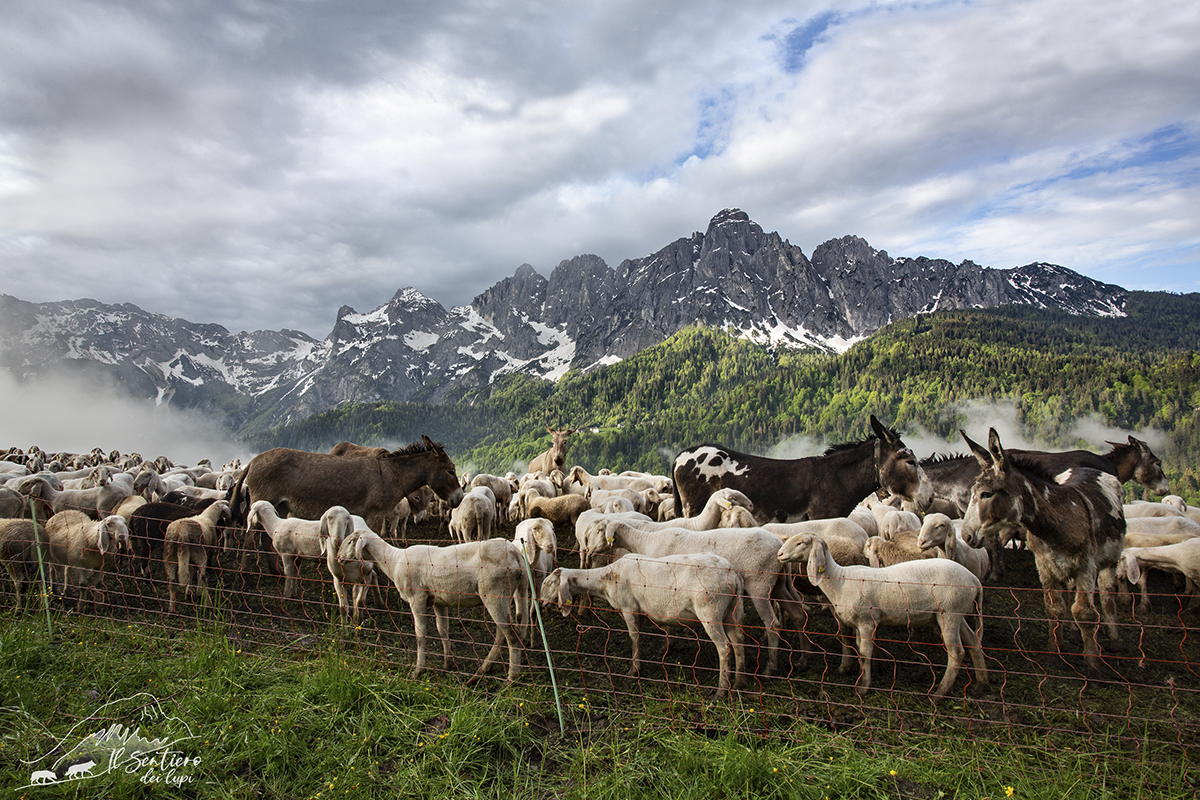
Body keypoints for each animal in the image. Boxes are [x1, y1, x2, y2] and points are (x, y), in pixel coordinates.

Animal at [350, 532, 530, 681]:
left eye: (351, 541)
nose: (342, 558)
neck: (393, 560)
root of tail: (515, 554)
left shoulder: (417, 598)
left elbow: (420, 634)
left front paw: (418, 671)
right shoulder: (438, 601)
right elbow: (442, 630)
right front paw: (447, 664)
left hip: (495, 593)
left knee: (511, 636)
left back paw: (511, 677)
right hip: (516, 591)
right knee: (505, 632)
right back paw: (482, 671)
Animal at [542, 554, 744, 695]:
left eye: (550, 583)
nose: (542, 603)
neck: (605, 580)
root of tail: (733, 575)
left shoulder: (629, 608)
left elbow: (634, 638)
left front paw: (634, 670)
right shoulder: (641, 611)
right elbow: (640, 637)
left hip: (710, 611)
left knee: (724, 647)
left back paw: (721, 691)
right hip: (732, 611)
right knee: (738, 642)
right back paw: (738, 683)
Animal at [772, 537, 988, 700]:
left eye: (802, 542)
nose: (779, 555)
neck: (840, 579)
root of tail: (974, 580)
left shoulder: (867, 622)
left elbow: (865, 653)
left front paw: (863, 688)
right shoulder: (859, 624)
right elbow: (859, 650)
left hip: (949, 613)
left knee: (957, 653)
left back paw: (939, 694)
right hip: (958, 613)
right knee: (974, 642)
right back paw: (979, 685)